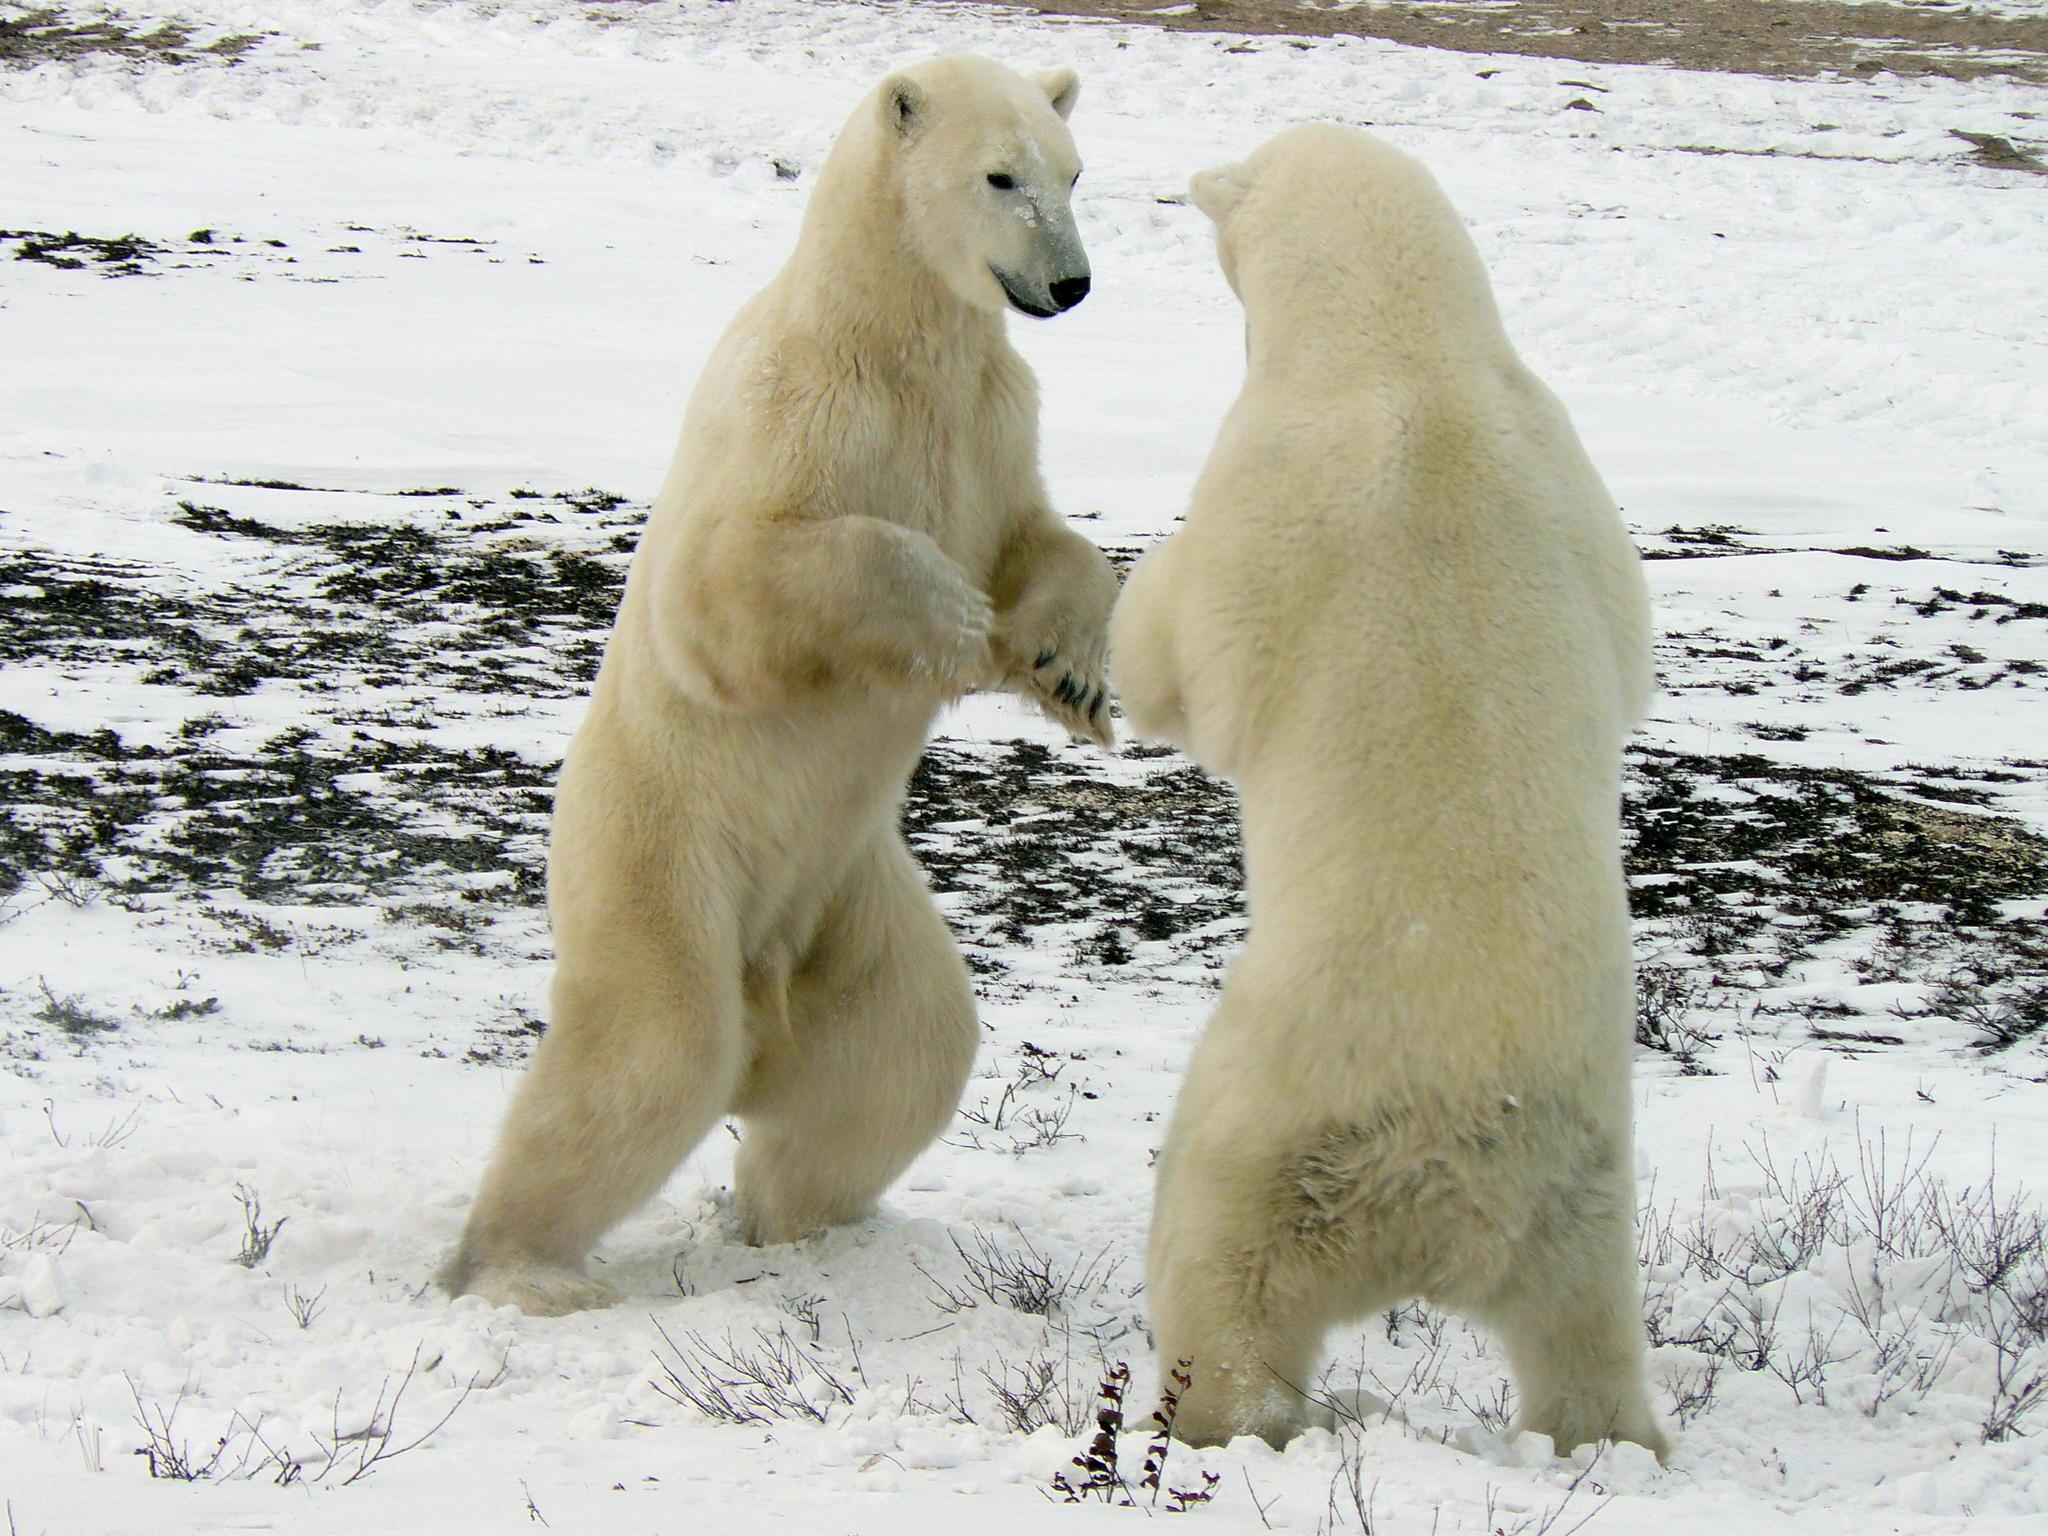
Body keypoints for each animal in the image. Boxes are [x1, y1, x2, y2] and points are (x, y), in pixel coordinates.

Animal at [439, 54, 1119, 1317]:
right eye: (999, 176)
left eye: (1072, 171)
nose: (1069, 282)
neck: (891, 335)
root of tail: (767, 991)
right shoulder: (798, 406)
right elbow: (726, 585)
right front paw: (947, 612)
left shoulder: (989, 420)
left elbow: (1040, 539)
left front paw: (1070, 672)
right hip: (664, 851)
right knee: (653, 1048)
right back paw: (525, 1267)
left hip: (848, 896)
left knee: (906, 1048)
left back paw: (791, 1221)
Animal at [1110, 124, 1666, 1459]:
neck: (1407, 352)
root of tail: (1448, 1184)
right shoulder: (1574, 489)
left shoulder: (1268, 484)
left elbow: (1183, 657)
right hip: (1578, 1186)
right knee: (1585, 1341)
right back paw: (1616, 1437)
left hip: (1275, 1127)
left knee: (1215, 1270)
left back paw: (1209, 1421)